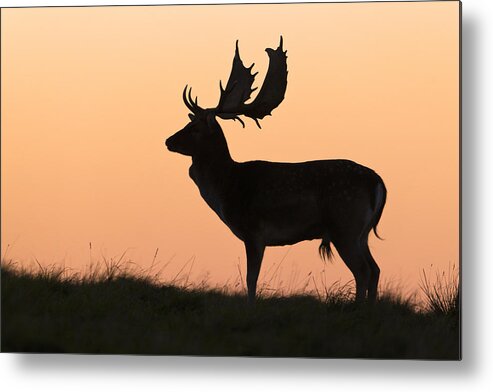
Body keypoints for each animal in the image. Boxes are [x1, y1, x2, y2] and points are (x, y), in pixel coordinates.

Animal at [165, 36, 384, 304]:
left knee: (363, 270)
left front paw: (250, 306)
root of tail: (378, 182)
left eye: (195, 127)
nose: (168, 141)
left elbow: (251, 278)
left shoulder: (254, 232)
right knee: (375, 268)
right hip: (362, 232)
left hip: (346, 224)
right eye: (188, 122)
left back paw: (358, 307)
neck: (228, 186)